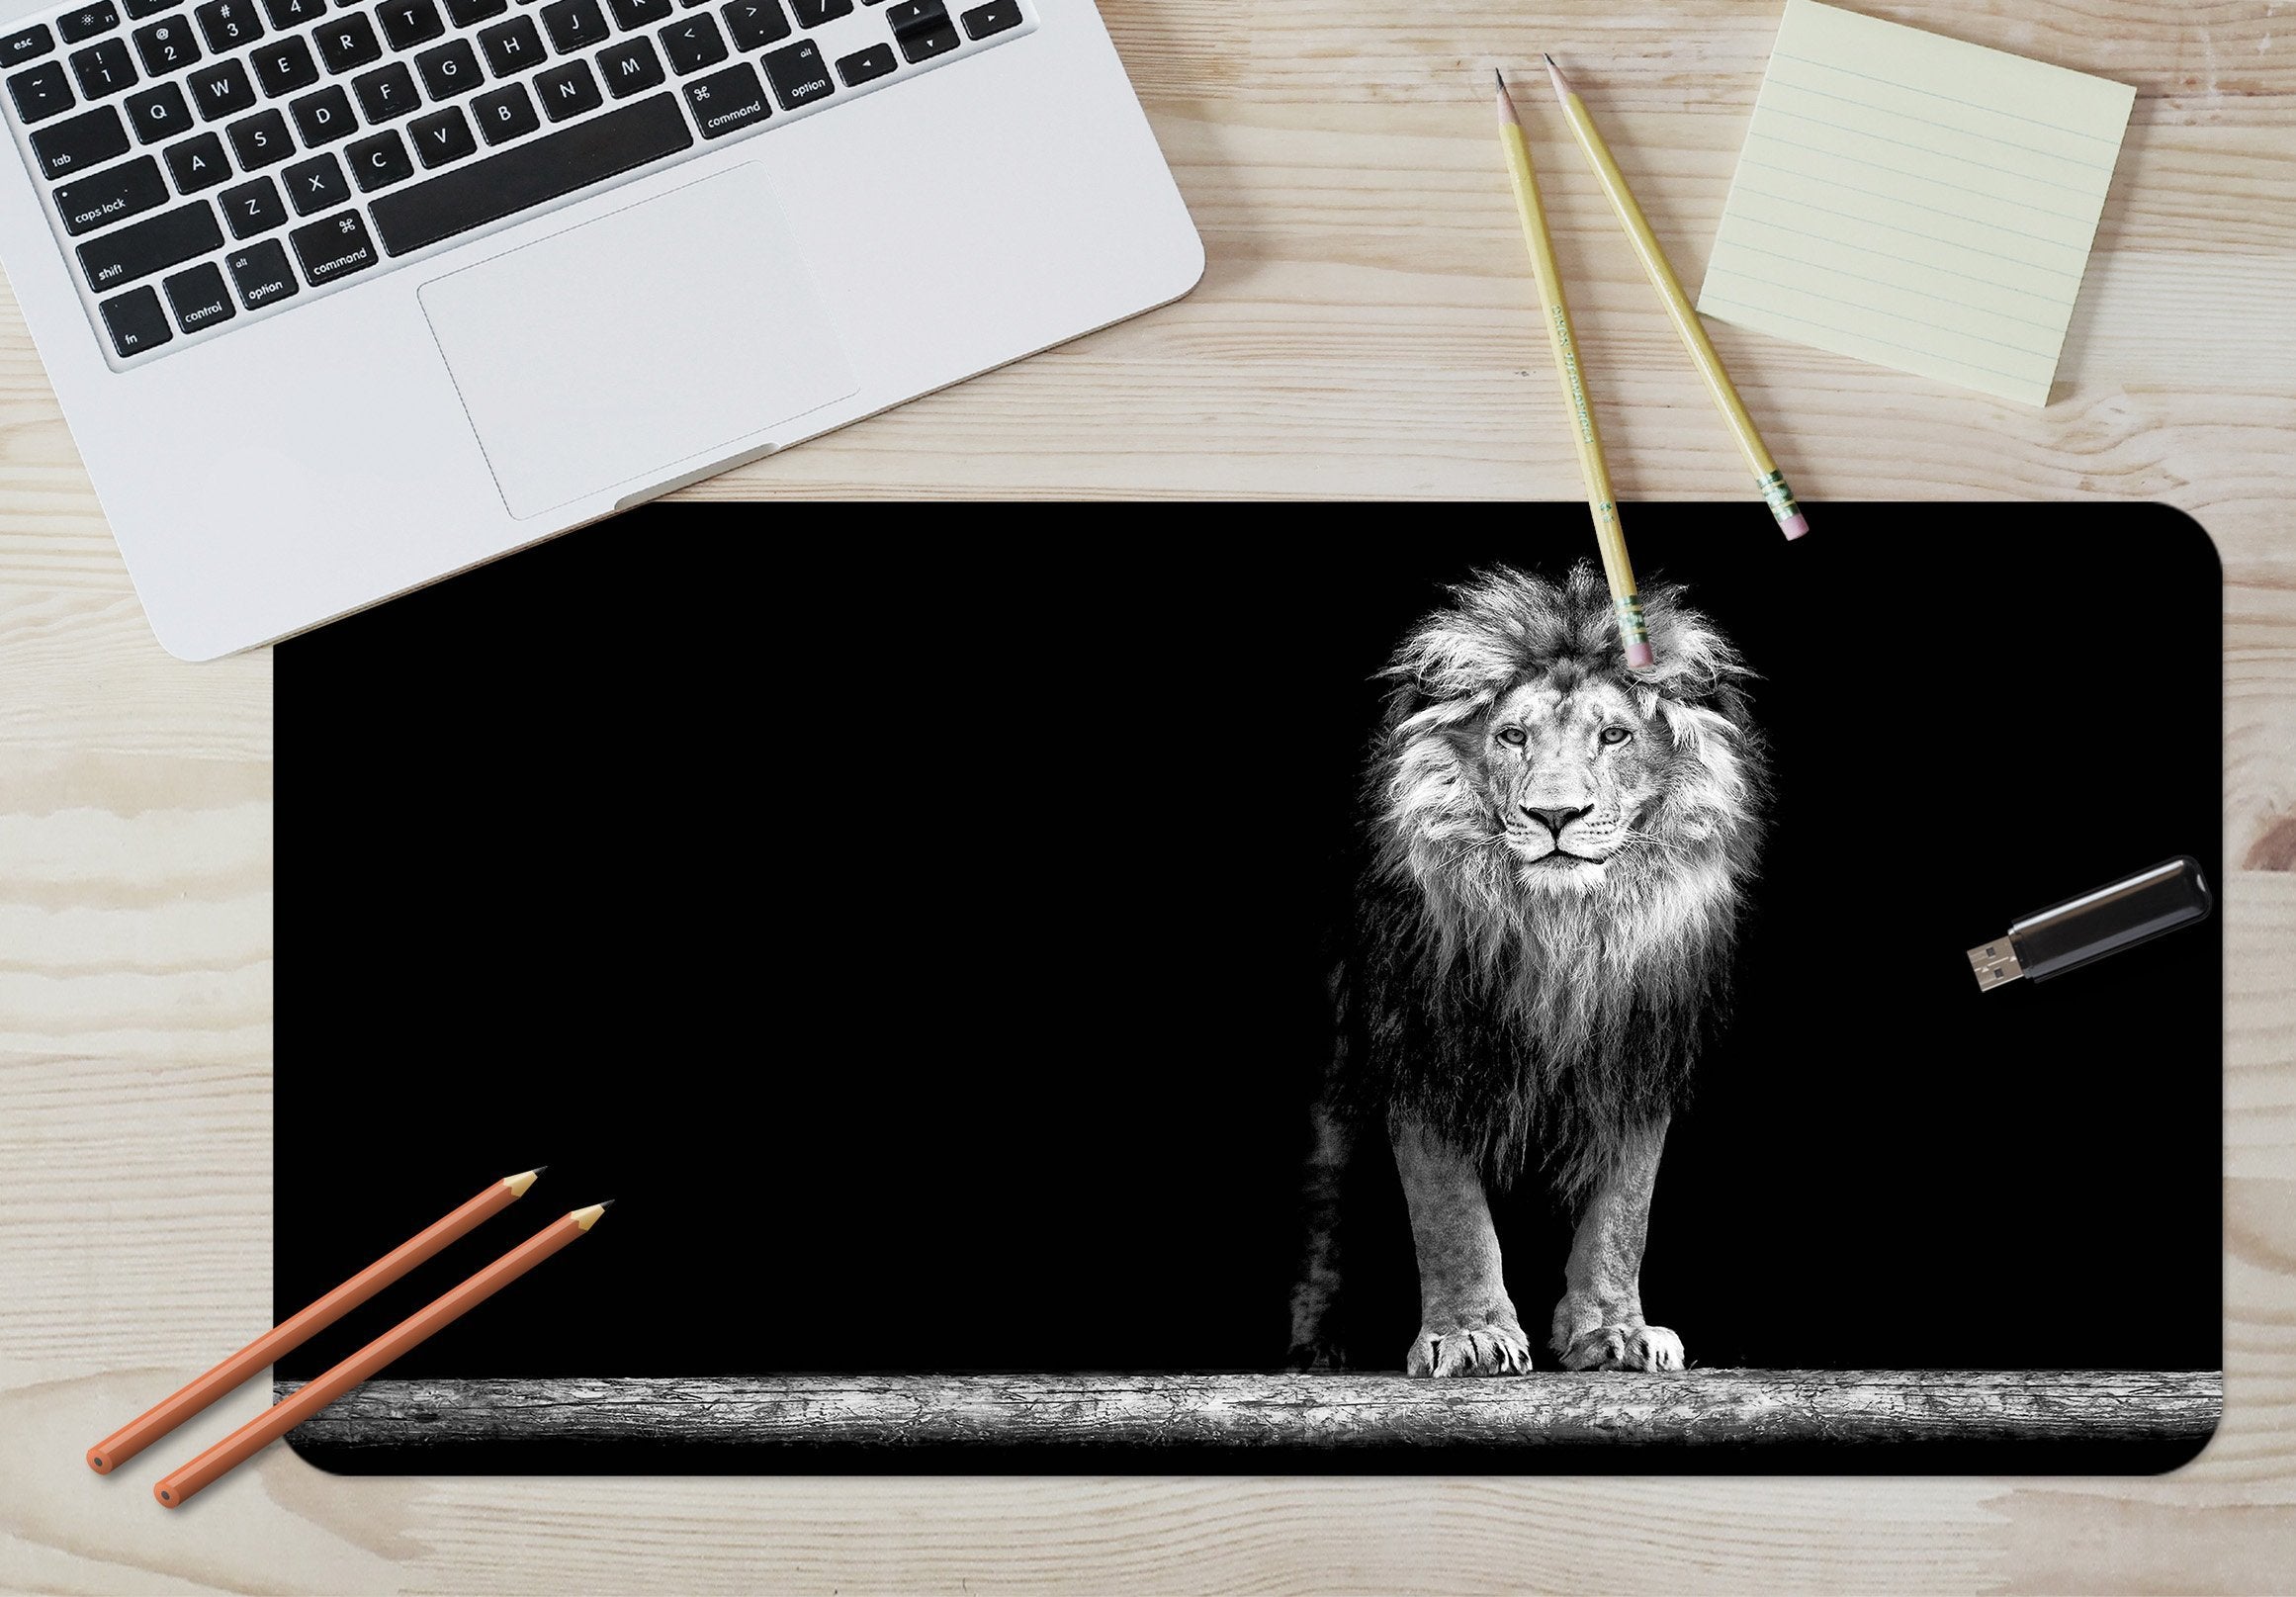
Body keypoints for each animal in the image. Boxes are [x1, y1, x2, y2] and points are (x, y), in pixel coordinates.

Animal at [1288, 562, 1766, 1376]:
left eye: (1614, 735)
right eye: (1513, 736)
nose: (1554, 815)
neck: (1560, 933)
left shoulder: (1638, 1051)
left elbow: (1623, 1213)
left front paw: (1615, 1332)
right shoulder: (1424, 1042)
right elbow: (1448, 1211)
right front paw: (1470, 1334)